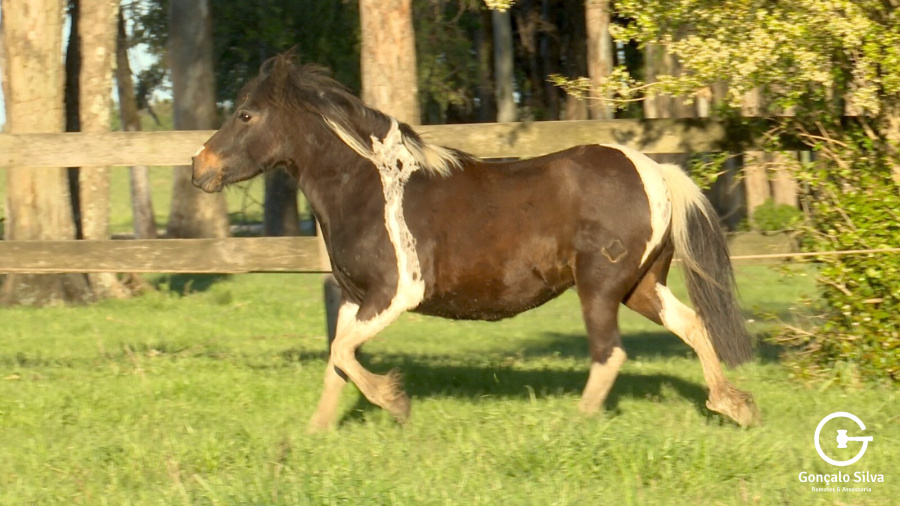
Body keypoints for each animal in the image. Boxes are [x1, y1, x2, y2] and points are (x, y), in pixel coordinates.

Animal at [191, 54, 760, 431]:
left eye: (245, 115)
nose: (199, 167)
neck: (369, 185)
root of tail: (657, 171)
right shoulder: (355, 297)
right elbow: (337, 359)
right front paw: (315, 433)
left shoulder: (395, 294)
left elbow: (343, 352)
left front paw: (394, 401)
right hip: (639, 285)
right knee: (692, 324)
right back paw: (734, 405)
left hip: (599, 286)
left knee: (609, 353)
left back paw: (574, 424)